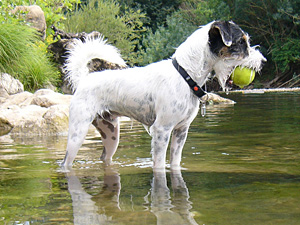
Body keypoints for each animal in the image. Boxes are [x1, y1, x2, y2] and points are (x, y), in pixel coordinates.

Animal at [60, 20, 264, 169]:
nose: (263, 61)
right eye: (241, 42)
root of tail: (84, 79)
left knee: (105, 157)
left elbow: (175, 162)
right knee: (66, 161)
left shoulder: (181, 131)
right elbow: (158, 165)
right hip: (77, 134)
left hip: (111, 135)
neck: (185, 75)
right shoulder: (161, 131)